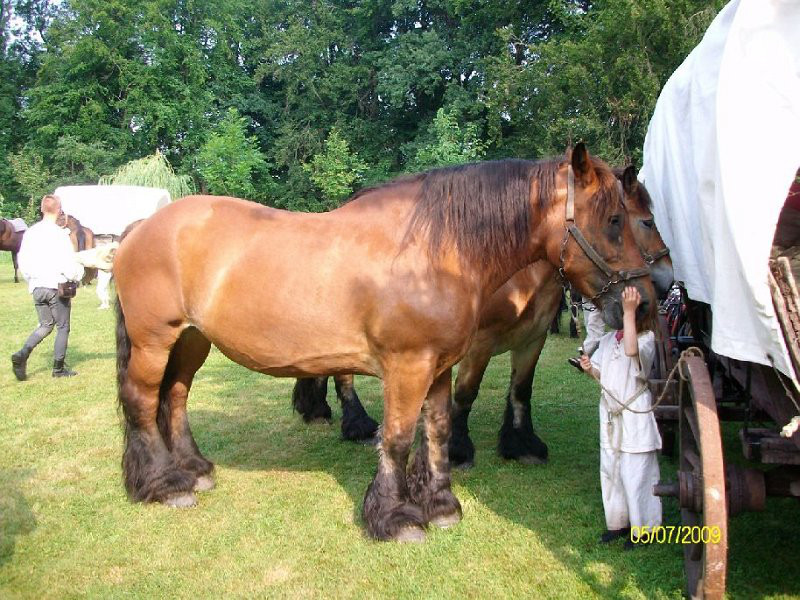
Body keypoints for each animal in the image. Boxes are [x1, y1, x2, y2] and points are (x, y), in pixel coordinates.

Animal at [292, 166, 673, 469]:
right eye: (644, 221)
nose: (661, 285)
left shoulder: (533, 338)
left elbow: (521, 390)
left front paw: (521, 443)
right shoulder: (481, 343)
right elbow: (466, 393)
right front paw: (458, 450)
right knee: (344, 374)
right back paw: (356, 423)